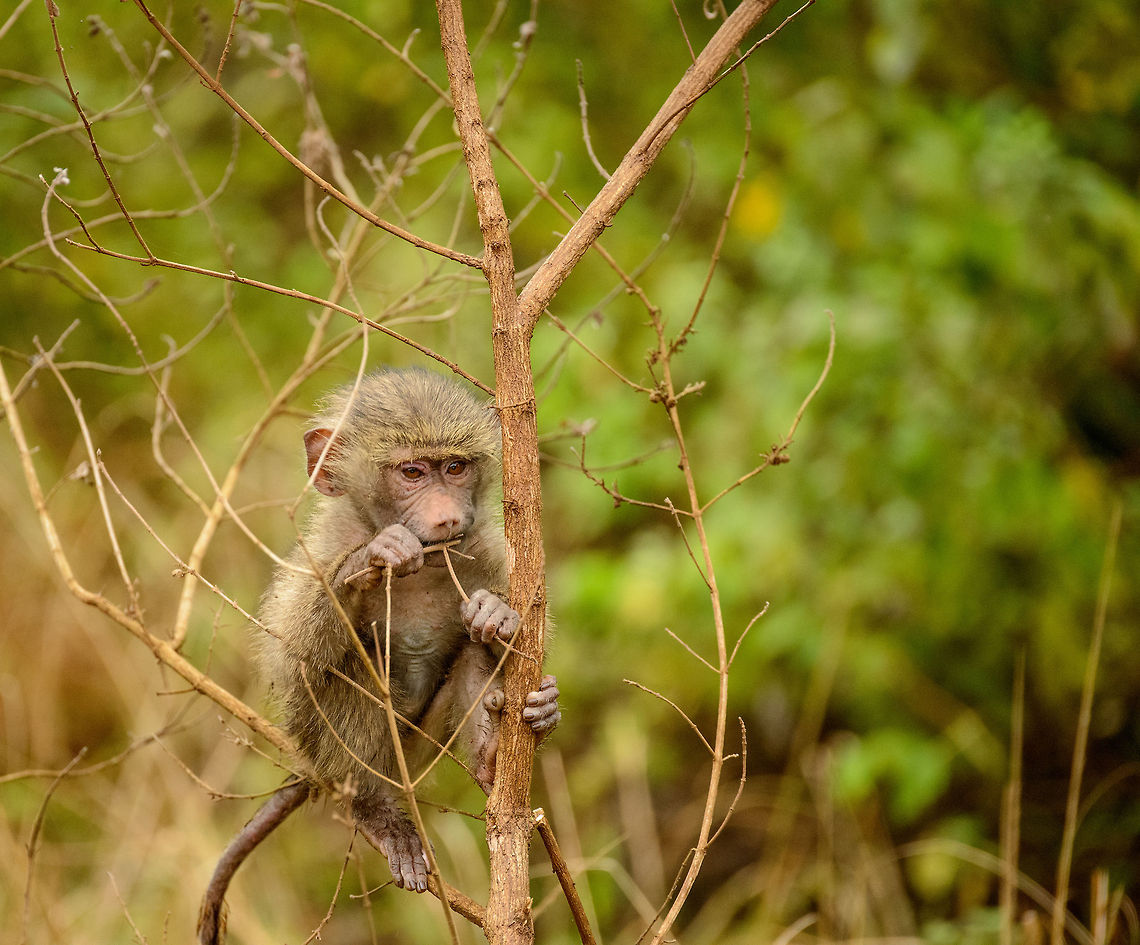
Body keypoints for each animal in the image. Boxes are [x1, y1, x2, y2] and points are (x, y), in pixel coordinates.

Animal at [197, 368, 560, 945]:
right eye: (411, 472)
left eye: (455, 468)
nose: (446, 517)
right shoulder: (325, 549)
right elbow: (293, 661)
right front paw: (374, 558)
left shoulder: (486, 549)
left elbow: (514, 628)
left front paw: (498, 617)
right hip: (340, 751)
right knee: (357, 672)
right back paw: (374, 811)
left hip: (422, 746)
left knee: (468, 657)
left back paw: (494, 752)